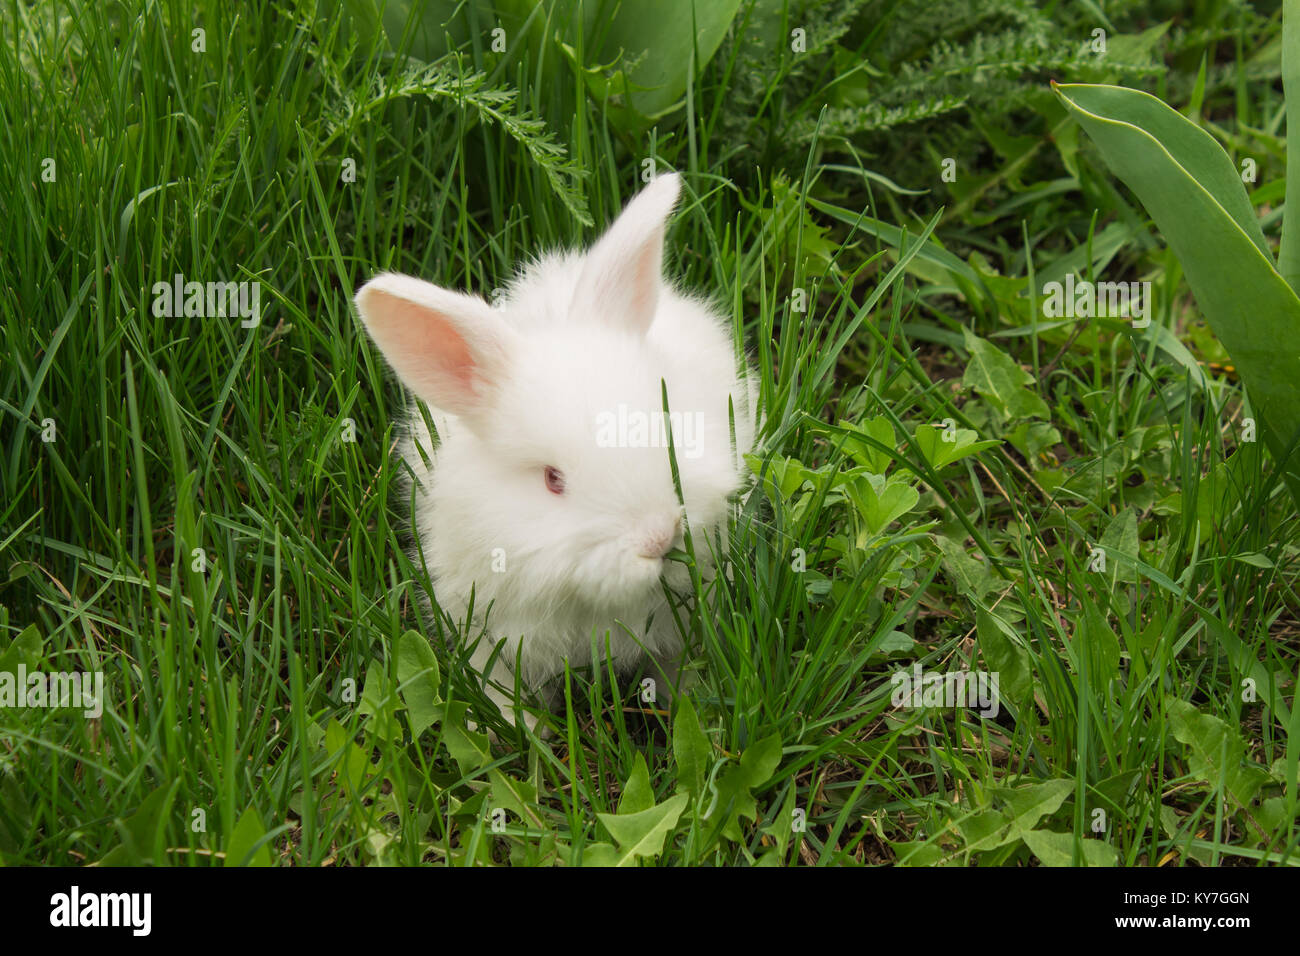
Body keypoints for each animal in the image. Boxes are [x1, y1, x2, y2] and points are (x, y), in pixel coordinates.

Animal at [354, 172, 758, 735]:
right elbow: (499, 685)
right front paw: (515, 729)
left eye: (665, 425)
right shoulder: (485, 628)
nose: (658, 537)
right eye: (552, 479)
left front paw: (693, 707)